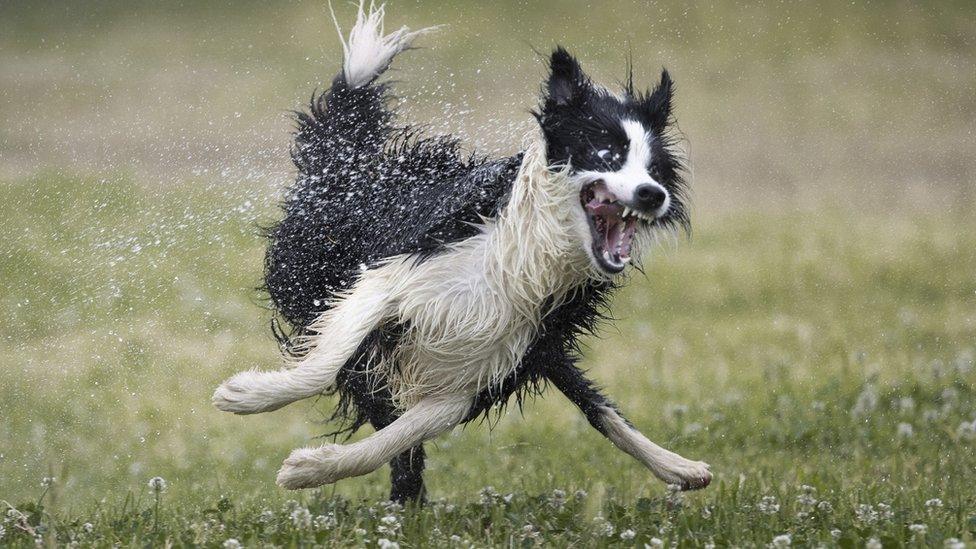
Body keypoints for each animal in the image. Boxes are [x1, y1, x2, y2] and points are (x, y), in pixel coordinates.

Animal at [214, 2, 708, 504]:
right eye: (607, 153)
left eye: (655, 170)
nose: (652, 195)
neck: (526, 257)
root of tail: (357, 164)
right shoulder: (393, 276)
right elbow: (326, 360)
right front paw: (248, 394)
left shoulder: (485, 367)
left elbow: (400, 435)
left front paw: (311, 468)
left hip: (536, 349)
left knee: (595, 405)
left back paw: (681, 467)